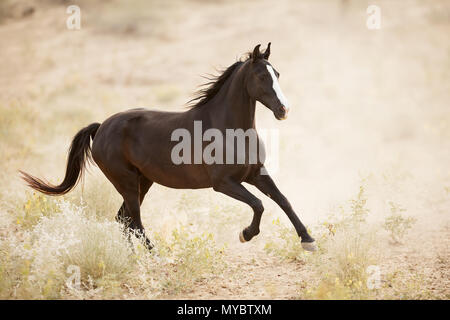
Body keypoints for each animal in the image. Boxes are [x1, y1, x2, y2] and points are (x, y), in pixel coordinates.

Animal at [20, 43, 316, 252]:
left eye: (277, 74)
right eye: (261, 76)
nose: (284, 110)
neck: (229, 129)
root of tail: (101, 127)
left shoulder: (255, 174)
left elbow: (283, 200)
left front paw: (308, 239)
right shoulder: (224, 183)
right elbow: (259, 205)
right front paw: (245, 234)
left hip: (143, 182)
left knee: (123, 220)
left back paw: (134, 259)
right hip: (127, 183)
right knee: (134, 222)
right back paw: (156, 256)